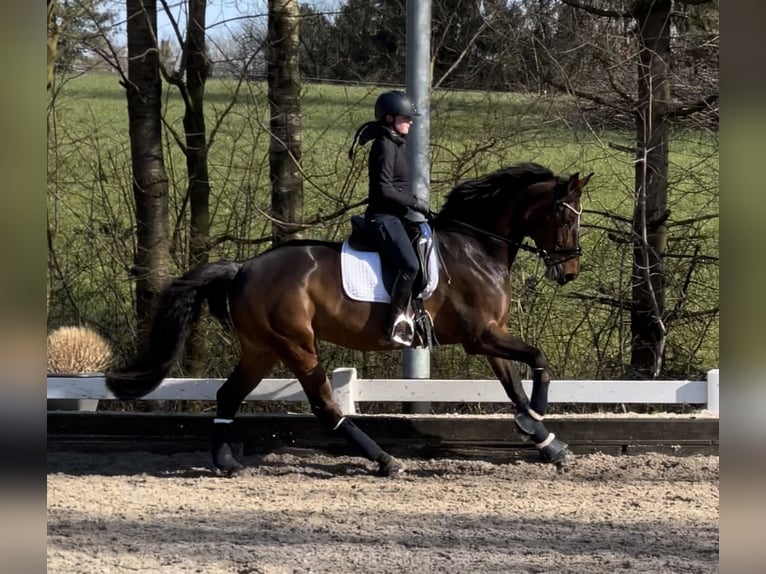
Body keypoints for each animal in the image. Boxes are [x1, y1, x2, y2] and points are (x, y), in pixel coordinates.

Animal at [106, 162, 593, 476]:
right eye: (563, 215)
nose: (569, 272)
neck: (476, 246)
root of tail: (244, 267)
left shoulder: (492, 334)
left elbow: (513, 384)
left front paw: (546, 440)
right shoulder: (482, 335)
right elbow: (538, 360)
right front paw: (539, 418)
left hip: (263, 348)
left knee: (228, 395)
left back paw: (225, 462)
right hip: (297, 345)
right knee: (325, 406)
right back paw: (384, 461)